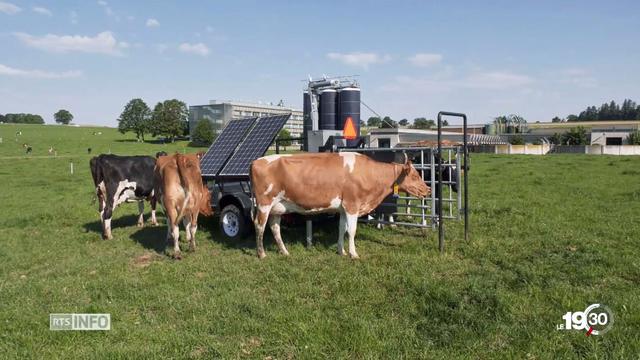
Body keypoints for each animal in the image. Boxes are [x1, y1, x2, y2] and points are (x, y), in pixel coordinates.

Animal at [250, 152, 430, 258]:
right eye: (415, 176)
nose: (428, 189)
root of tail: (256, 161)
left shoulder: (343, 208)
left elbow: (342, 228)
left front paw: (341, 251)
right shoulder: (352, 205)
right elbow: (352, 230)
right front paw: (353, 254)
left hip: (277, 208)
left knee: (274, 227)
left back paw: (284, 251)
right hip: (264, 203)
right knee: (259, 226)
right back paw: (262, 254)